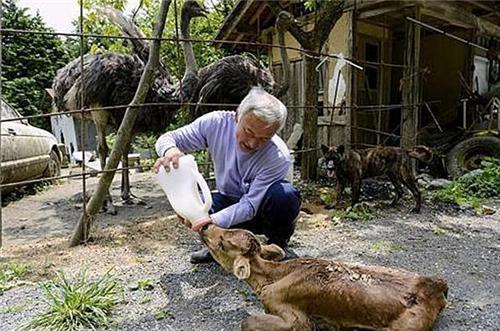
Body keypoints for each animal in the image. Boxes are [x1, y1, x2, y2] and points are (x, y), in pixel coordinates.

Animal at [200, 224, 450, 330]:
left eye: (223, 243)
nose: (205, 227)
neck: (270, 279)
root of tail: (437, 285)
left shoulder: (296, 318)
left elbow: (248, 321)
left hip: (409, 326)